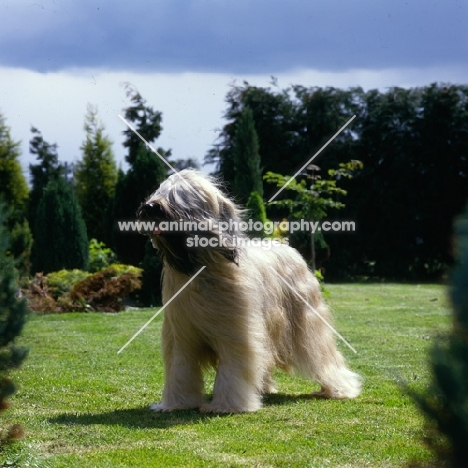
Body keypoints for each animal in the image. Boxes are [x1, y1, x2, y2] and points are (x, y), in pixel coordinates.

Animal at [136, 170, 362, 412]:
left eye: (180, 195)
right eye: (161, 191)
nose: (149, 207)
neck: (200, 269)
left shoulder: (236, 332)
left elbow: (232, 368)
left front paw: (226, 405)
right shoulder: (180, 334)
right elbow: (180, 368)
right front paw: (176, 403)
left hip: (308, 324)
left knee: (323, 354)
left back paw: (339, 388)